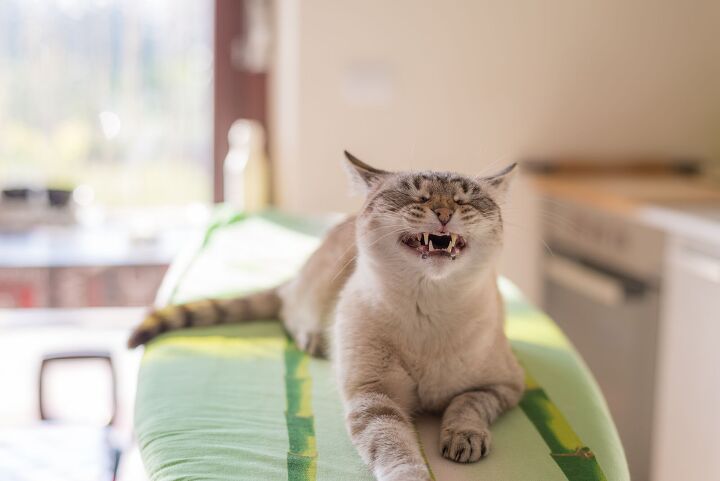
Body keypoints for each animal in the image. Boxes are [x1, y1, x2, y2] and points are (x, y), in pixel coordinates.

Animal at [128, 151, 524, 480]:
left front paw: (463, 439)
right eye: (417, 196)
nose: (444, 213)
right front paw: (414, 475)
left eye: (465, 199)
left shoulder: (503, 385)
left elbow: (466, 405)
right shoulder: (374, 396)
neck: (431, 308)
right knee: (289, 310)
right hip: (313, 299)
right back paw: (316, 340)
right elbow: (396, 448)